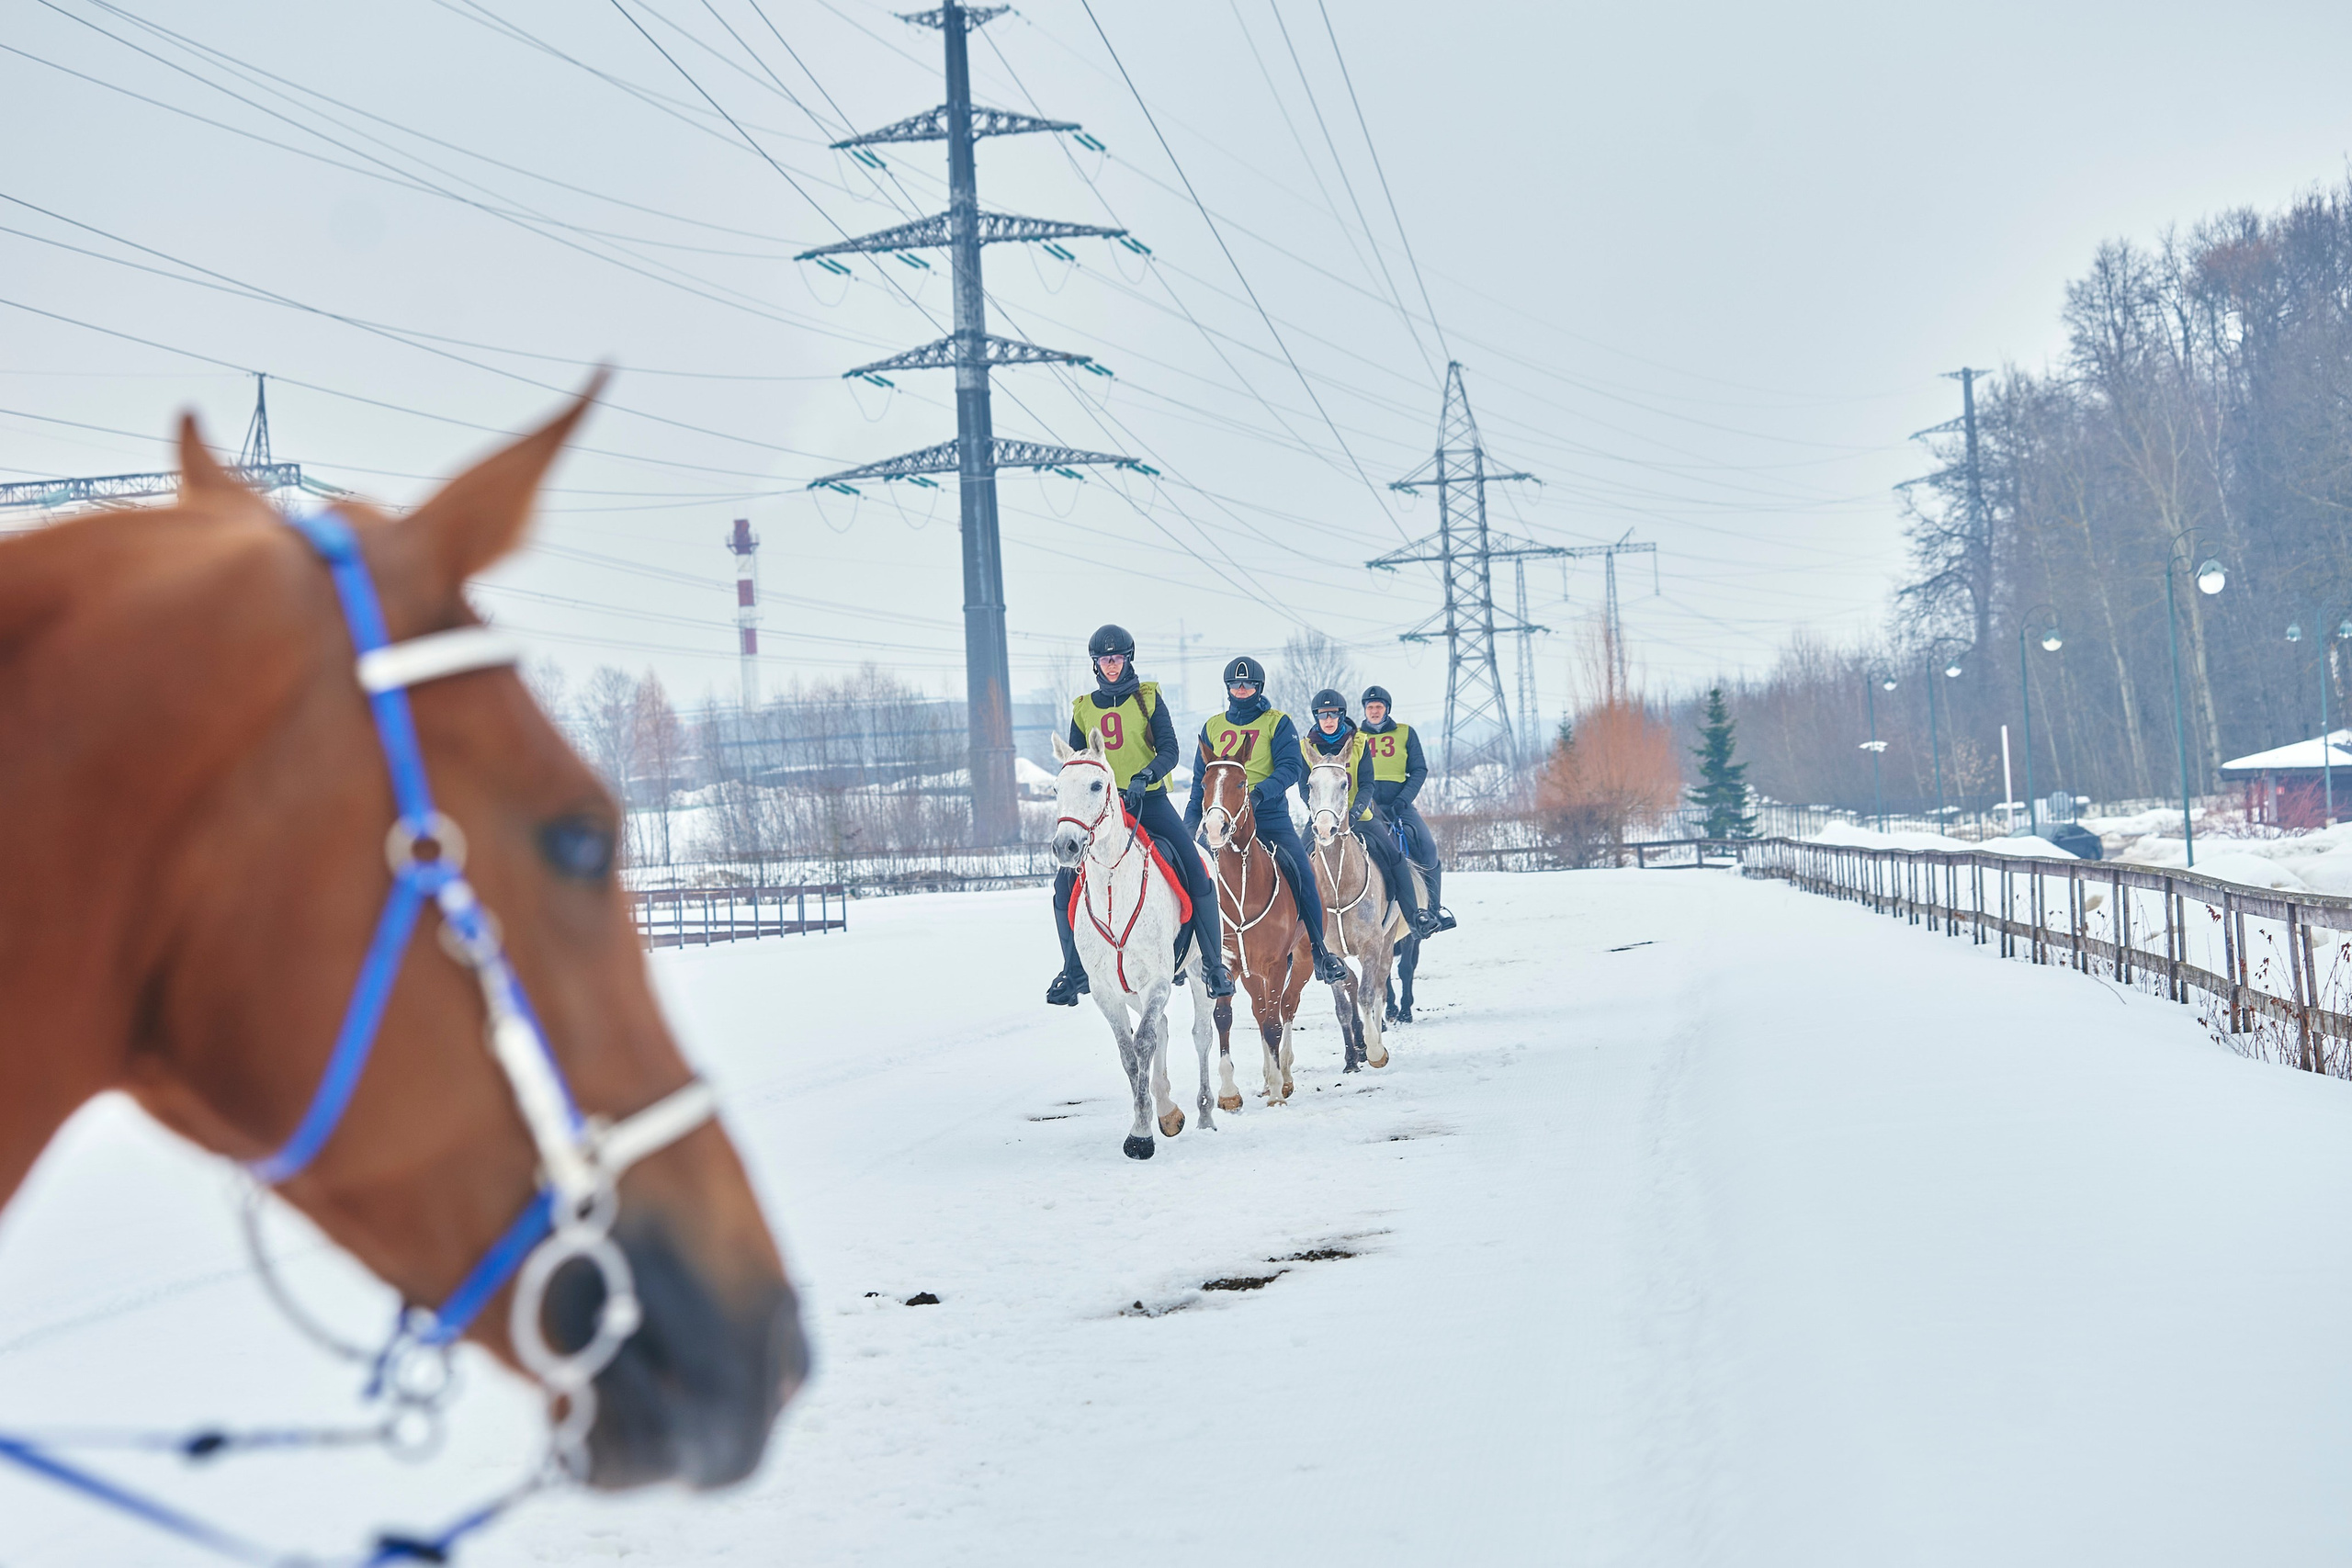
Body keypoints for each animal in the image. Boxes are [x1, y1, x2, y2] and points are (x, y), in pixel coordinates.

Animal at [1049, 731, 1217, 1159]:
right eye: (1056, 788)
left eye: (1096, 785)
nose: (1065, 846)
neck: (1113, 888)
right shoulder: (1106, 991)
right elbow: (1129, 1052)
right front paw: (1149, 1122)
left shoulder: (1156, 980)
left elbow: (1143, 1043)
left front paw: (1140, 1136)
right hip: (1131, 990)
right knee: (1163, 1027)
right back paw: (1169, 1111)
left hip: (1196, 974)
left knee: (1201, 1035)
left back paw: (1206, 1113)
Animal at [1197, 759, 1359, 1106]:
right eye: (1204, 783)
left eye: (1241, 783)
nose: (1215, 828)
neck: (1244, 890)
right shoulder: (1229, 966)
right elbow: (1225, 1018)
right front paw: (1229, 1093)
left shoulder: (1275, 966)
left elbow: (1274, 1022)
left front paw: (1275, 1091)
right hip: (1252, 973)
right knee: (1261, 1012)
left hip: (1302, 962)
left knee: (1285, 1008)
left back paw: (1283, 1076)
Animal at [1302, 758, 1398, 1073]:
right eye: (1310, 784)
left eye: (1345, 783)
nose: (1325, 829)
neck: (1338, 887)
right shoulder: (1331, 954)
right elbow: (1343, 1006)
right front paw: (1350, 1059)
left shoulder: (1371, 946)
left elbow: (1367, 996)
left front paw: (1375, 1050)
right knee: (1353, 985)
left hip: (1388, 941)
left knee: (1378, 988)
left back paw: (1374, 1037)